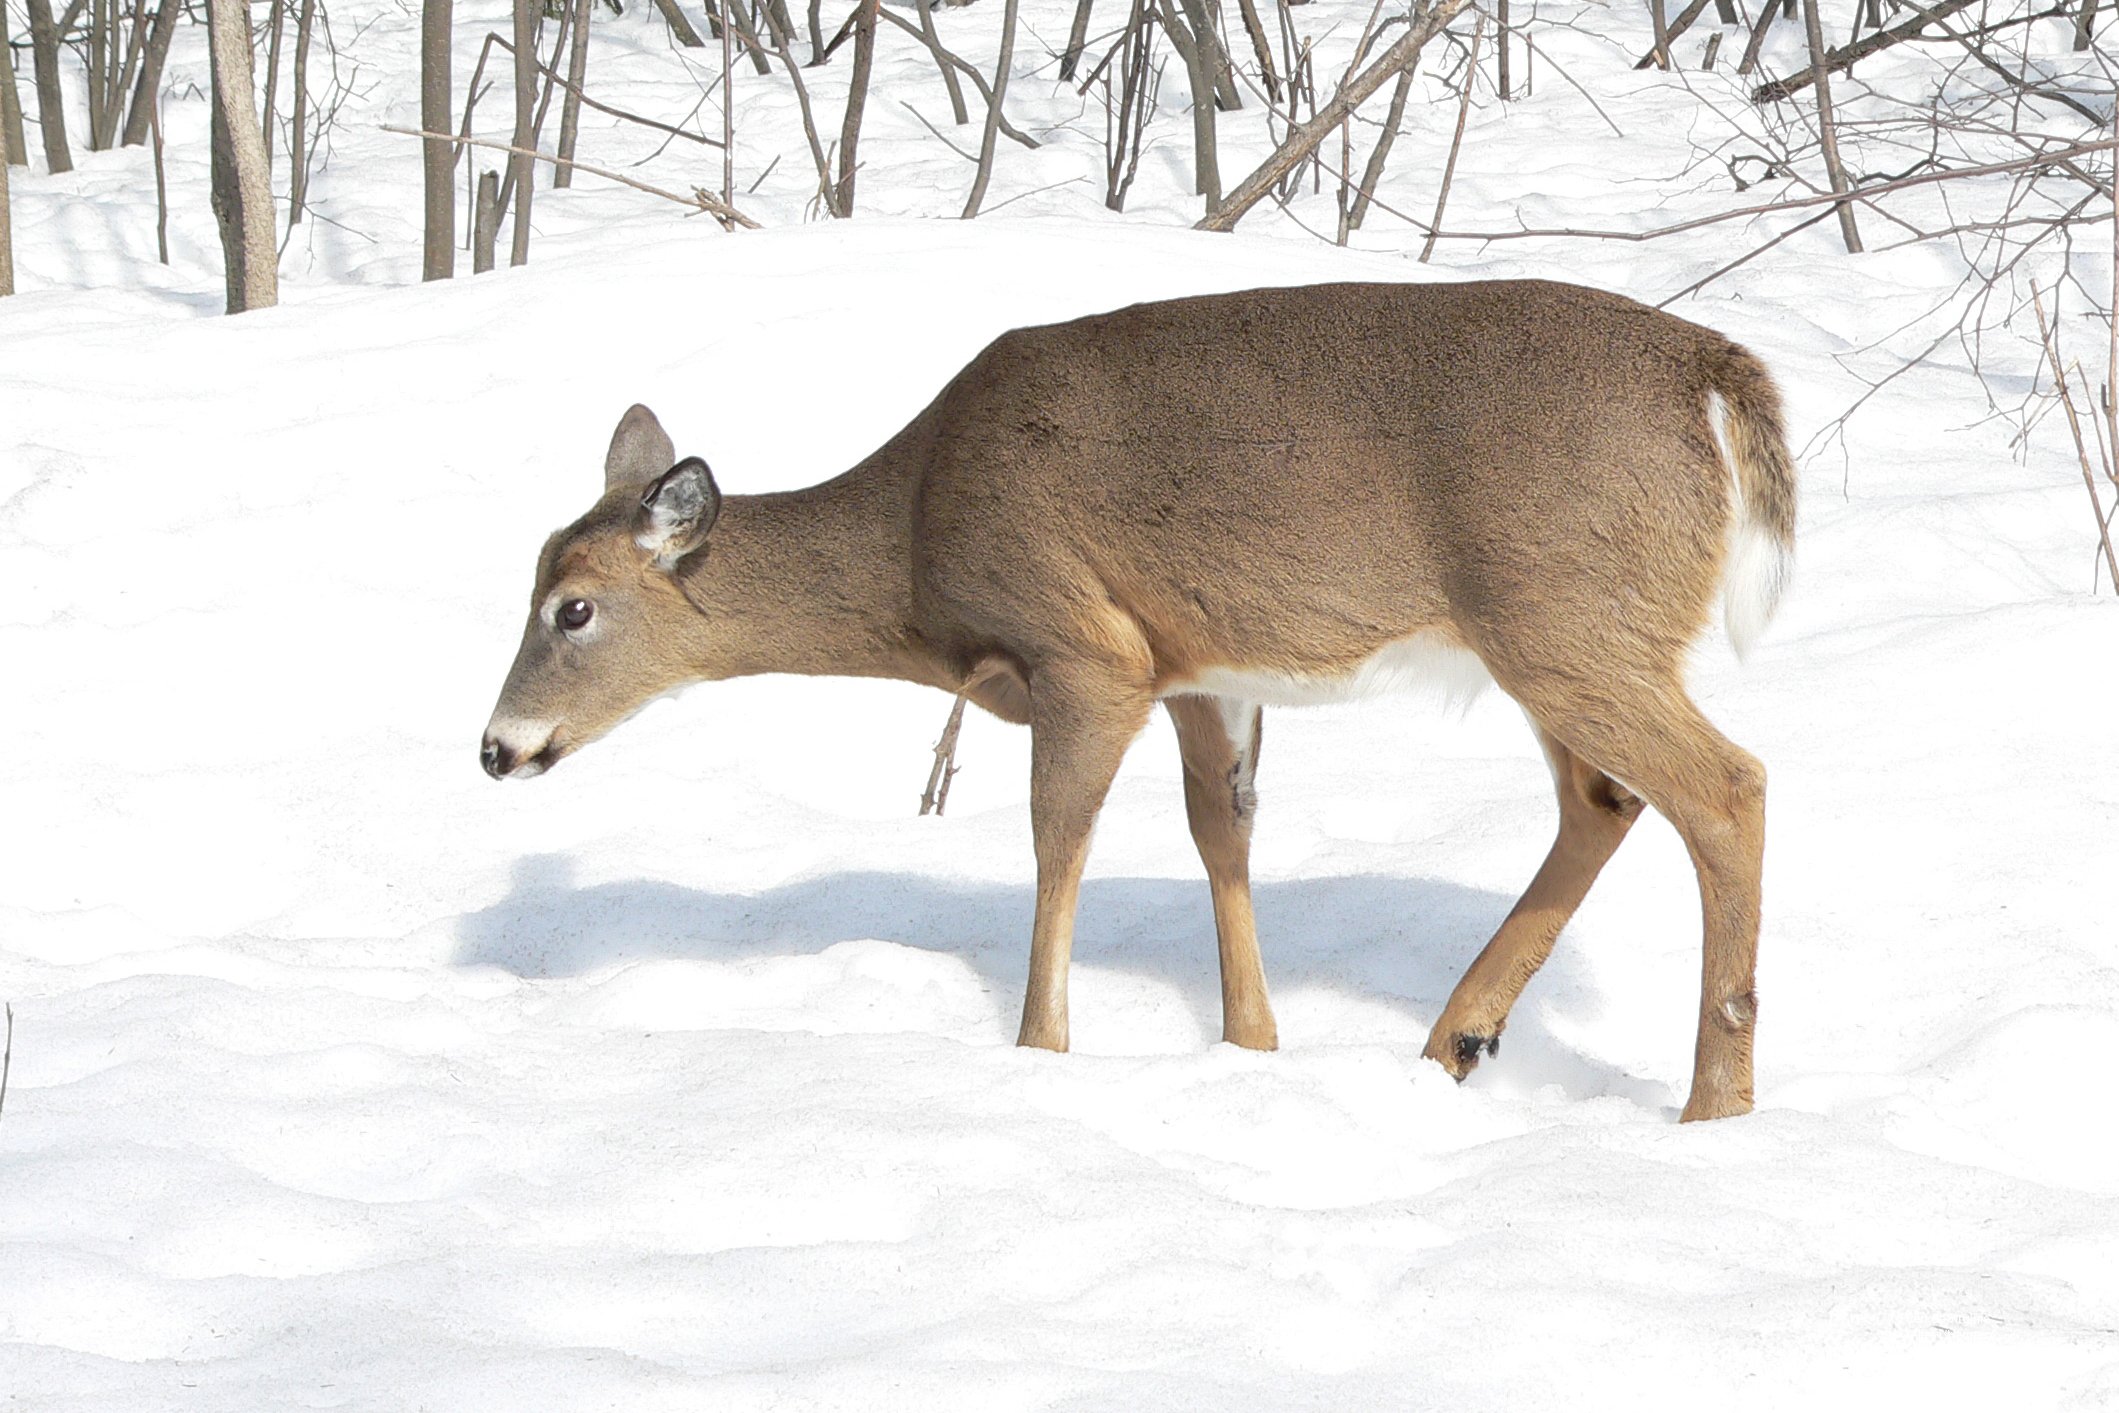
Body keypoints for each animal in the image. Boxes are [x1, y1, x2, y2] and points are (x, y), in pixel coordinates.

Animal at [487, 281, 1796, 1127]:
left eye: (572, 609)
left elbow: (1056, 840)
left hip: (1563, 612)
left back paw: (1712, 1104)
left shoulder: (1085, 649)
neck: (915, 549)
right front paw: (1250, 1043)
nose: (498, 749)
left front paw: (1038, 1051)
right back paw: (1454, 1042)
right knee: (1604, 800)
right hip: (1558, 631)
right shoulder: (1196, 671)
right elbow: (1222, 831)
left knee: (1726, 786)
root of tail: (1712, 379)